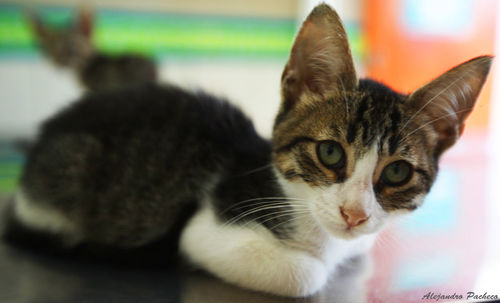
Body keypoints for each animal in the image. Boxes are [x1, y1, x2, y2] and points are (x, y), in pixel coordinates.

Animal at [4, 4, 492, 300]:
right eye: (331, 153)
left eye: (396, 174)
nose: (353, 215)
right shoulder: (207, 224)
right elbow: (304, 274)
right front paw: (312, 267)